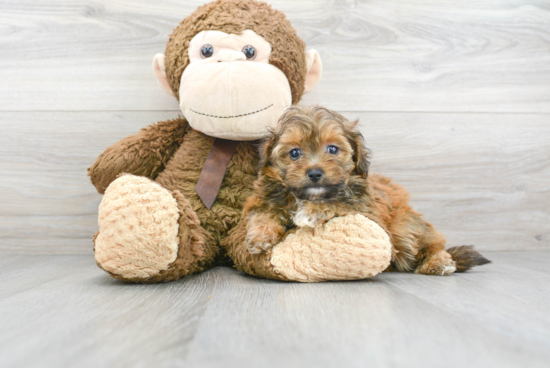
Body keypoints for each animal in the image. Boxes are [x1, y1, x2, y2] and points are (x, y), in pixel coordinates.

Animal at [246, 105, 492, 274]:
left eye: (332, 149)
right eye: (294, 153)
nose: (315, 173)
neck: (306, 195)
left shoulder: (366, 210)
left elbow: (338, 203)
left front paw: (312, 212)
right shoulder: (266, 198)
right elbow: (264, 213)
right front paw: (259, 237)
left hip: (405, 227)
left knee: (431, 246)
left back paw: (439, 263)